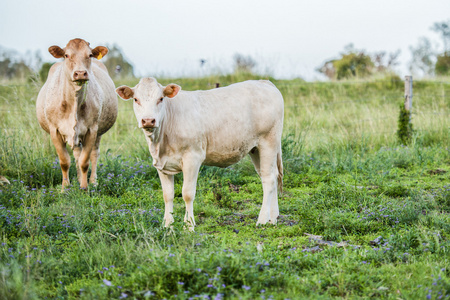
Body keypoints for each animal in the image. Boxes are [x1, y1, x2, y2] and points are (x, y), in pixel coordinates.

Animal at [36, 38, 118, 190]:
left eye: (90, 55)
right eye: (66, 55)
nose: (80, 73)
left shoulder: (92, 130)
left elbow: (85, 161)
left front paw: (85, 187)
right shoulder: (54, 131)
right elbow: (65, 161)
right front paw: (65, 188)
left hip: (98, 132)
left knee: (94, 154)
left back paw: (92, 181)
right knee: (77, 154)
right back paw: (79, 178)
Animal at [117, 77, 284, 230]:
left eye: (161, 98)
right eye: (136, 99)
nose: (148, 120)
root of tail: (264, 82)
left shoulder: (193, 157)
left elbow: (187, 193)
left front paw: (189, 226)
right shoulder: (160, 164)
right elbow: (167, 195)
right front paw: (167, 226)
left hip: (268, 141)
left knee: (269, 179)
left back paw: (262, 220)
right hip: (255, 149)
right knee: (271, 175)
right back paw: (273, 217)